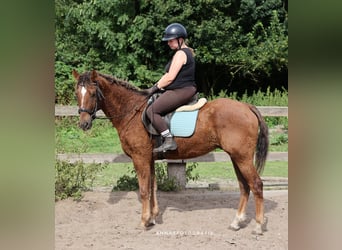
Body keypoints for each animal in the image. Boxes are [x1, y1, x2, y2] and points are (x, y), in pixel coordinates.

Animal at [73, 69, 270, 234]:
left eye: (93, 93)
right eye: (77, 94)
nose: (84, 123)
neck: (132, 111)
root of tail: (246, 107)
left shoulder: (139, 158)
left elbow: (144, 190)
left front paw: (143, 222)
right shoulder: (149, 159)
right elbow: (152, 187)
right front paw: (152, 218)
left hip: (242, 157)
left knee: (256, 185)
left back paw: (258, 226)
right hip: (236, 157)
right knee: (244, 186)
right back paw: (236, 222)